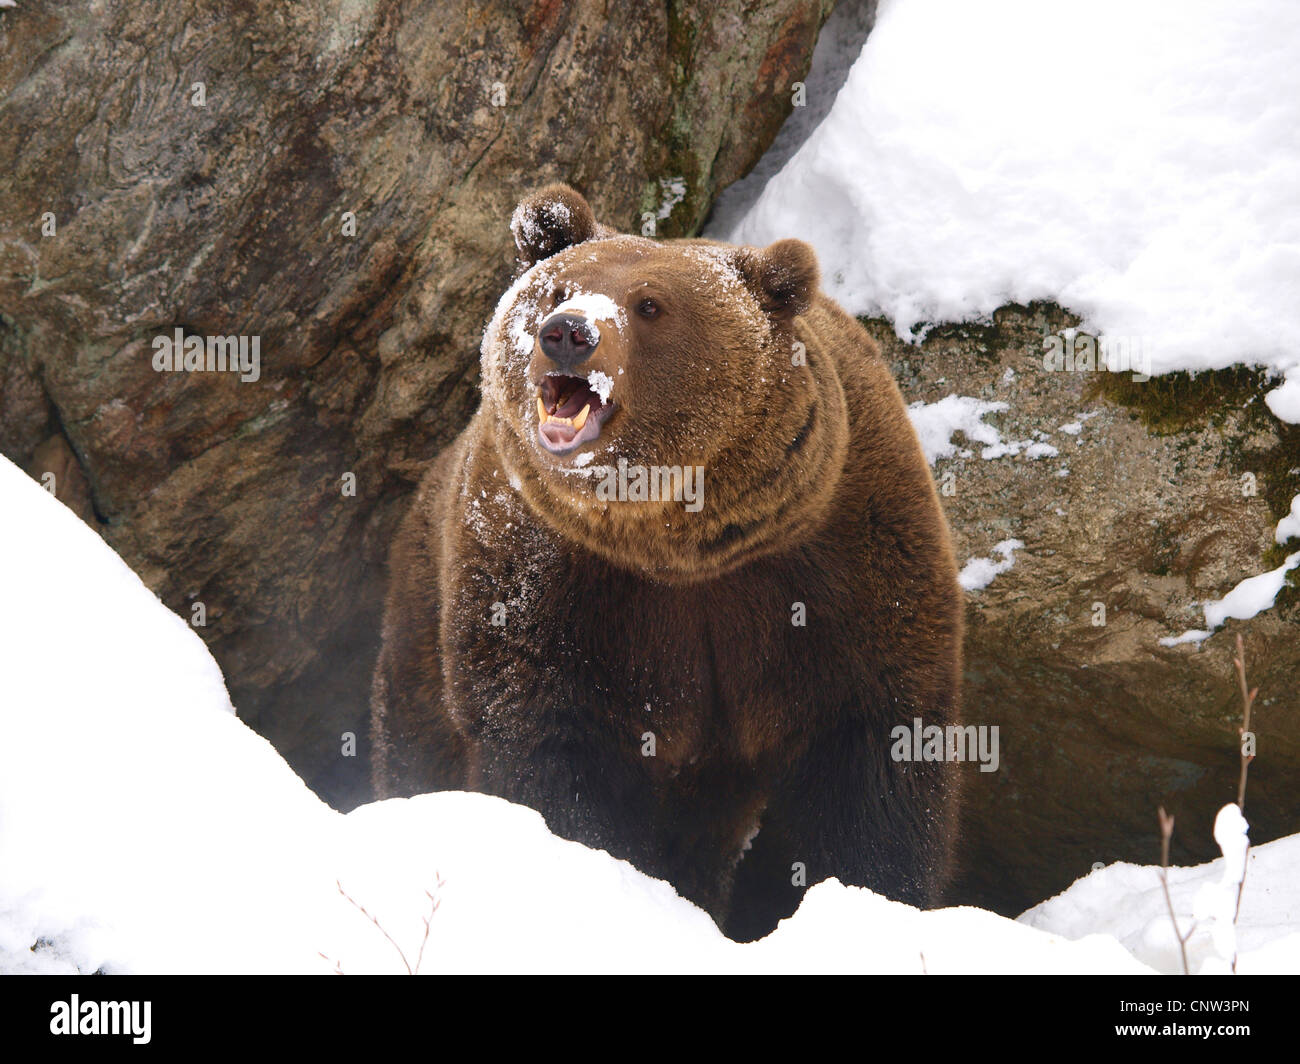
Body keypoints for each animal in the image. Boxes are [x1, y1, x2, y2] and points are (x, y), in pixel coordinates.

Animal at [371, 184, 964, 942]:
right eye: (557, 288)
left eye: (651, 304)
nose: (568, 332)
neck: (682, 543)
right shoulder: (548, 581)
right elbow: (552, 744)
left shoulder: (841, 555)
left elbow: (871, 757)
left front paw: (870, 902)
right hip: (421, 620)